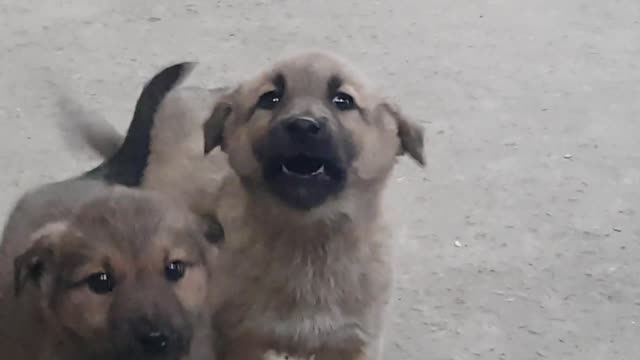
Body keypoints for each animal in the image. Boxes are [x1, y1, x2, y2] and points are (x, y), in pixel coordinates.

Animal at [202, 51, 424, 360]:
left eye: (343, 100)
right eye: (270, 98)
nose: (303, 126)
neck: (309, 236)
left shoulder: (354, 341)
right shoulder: (240, 336)